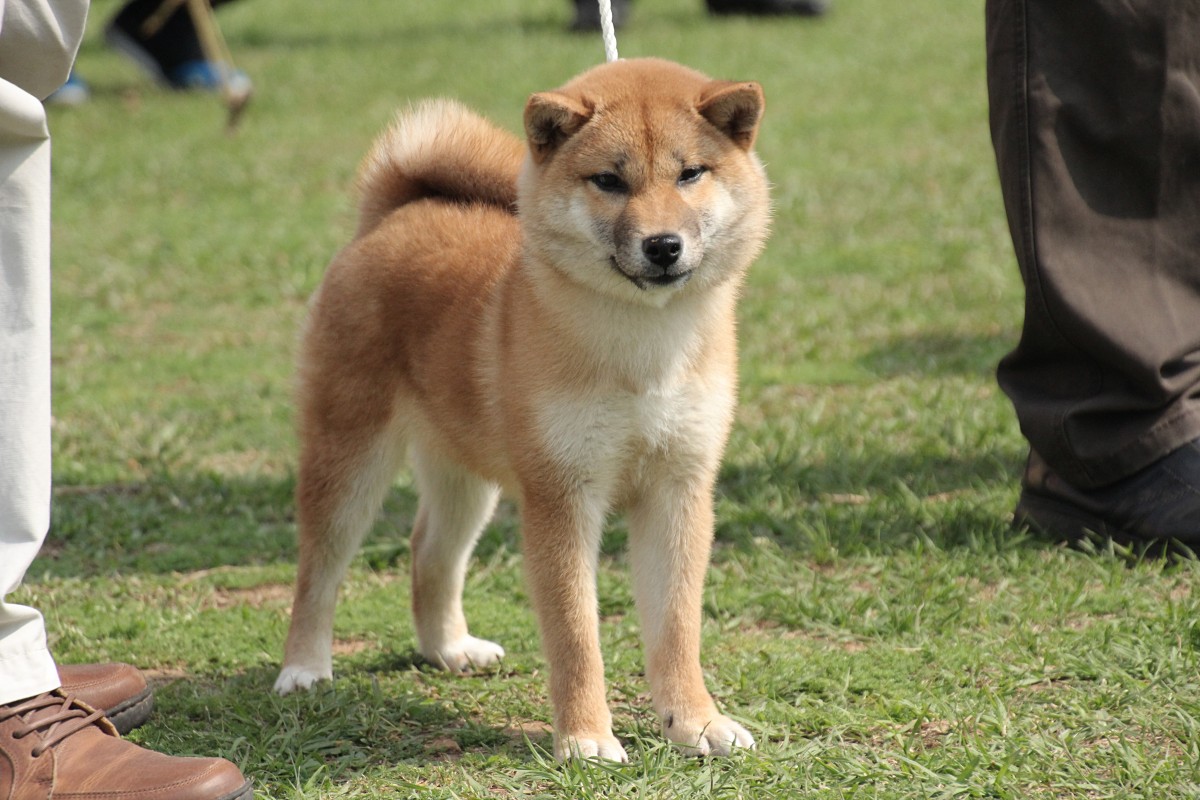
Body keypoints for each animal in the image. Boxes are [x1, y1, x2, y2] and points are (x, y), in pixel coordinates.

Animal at [274, 57, 768, 762]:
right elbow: (575, 636)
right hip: (348, 455)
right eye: (609, 180)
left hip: (465, 475)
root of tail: (396, 212)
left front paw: (696, 723)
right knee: (319, 566)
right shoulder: (561, 495)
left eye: (690, 173)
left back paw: (449, 648)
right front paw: (586, 739)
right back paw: (304, 668)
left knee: (430, 552)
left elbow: (677, 629)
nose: (663, 245)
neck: (642, 350)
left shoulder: (679, 488)